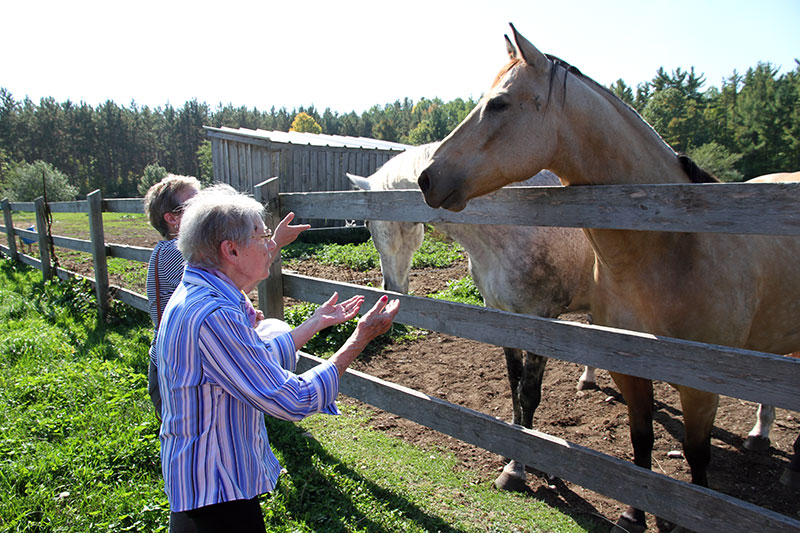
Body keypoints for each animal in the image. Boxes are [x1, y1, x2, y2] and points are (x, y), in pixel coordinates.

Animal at [346, 141, 596, 490]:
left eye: (370, 223)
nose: (390, 289)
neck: (511, 227)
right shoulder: (501, 316)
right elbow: (514, 383)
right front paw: (513, 449)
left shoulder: (541, 322)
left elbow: (529, 394)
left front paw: (517, 469)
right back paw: (588, 380)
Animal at [416, 22, 800, 528]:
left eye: (499, 103)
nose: (427, 176)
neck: (676, 246)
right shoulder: (607, 358)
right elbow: (638, 439)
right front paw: (635, 513)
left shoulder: (699, 384)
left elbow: (697, 458)